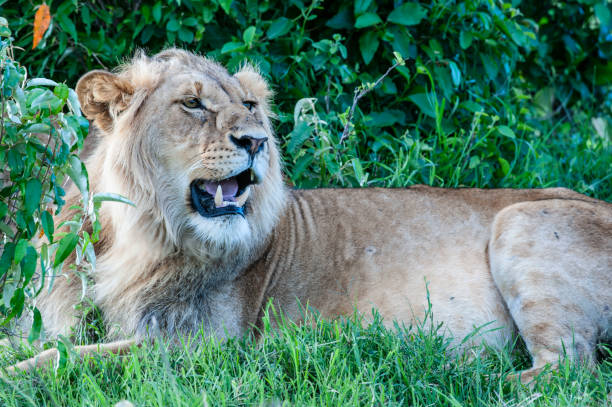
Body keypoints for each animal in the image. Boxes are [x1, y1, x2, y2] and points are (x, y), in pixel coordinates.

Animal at [5, 47, 612, 382]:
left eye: (249, 106)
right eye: (193, 104)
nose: (255, 141)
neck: (134, 237)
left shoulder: (202, 346)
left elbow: (64, 360)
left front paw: (15, 379)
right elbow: (49, 346)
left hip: (520, 220)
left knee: (567, 371)